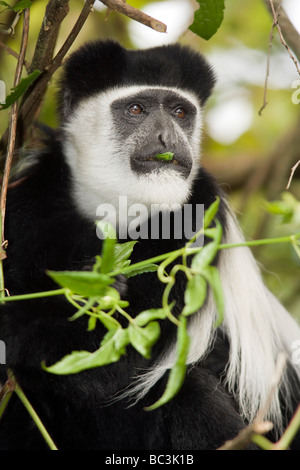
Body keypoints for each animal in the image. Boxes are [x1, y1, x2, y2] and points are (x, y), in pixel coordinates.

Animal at [0, 41, 300, 452]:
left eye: (179, 112)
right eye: (137, 109)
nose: (166, 138)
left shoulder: (198, 220)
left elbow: (124, 359)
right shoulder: (27, 205)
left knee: (186, 385)